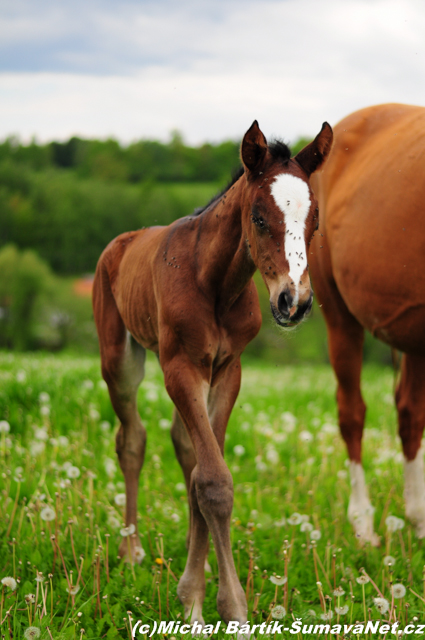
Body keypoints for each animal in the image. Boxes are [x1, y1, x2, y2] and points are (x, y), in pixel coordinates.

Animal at [93, 120, 332, 624]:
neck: (216, 283)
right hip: (119, 360)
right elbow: (214, 481)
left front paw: (200, 591)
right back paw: (131, 550)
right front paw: (217, 605)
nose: (295, 302)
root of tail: (121, 243)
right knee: (132, 440)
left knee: (184, 448)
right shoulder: (181, 367)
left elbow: (206, 471)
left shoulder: (227, 370)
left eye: (314, 219)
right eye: (258, 217)